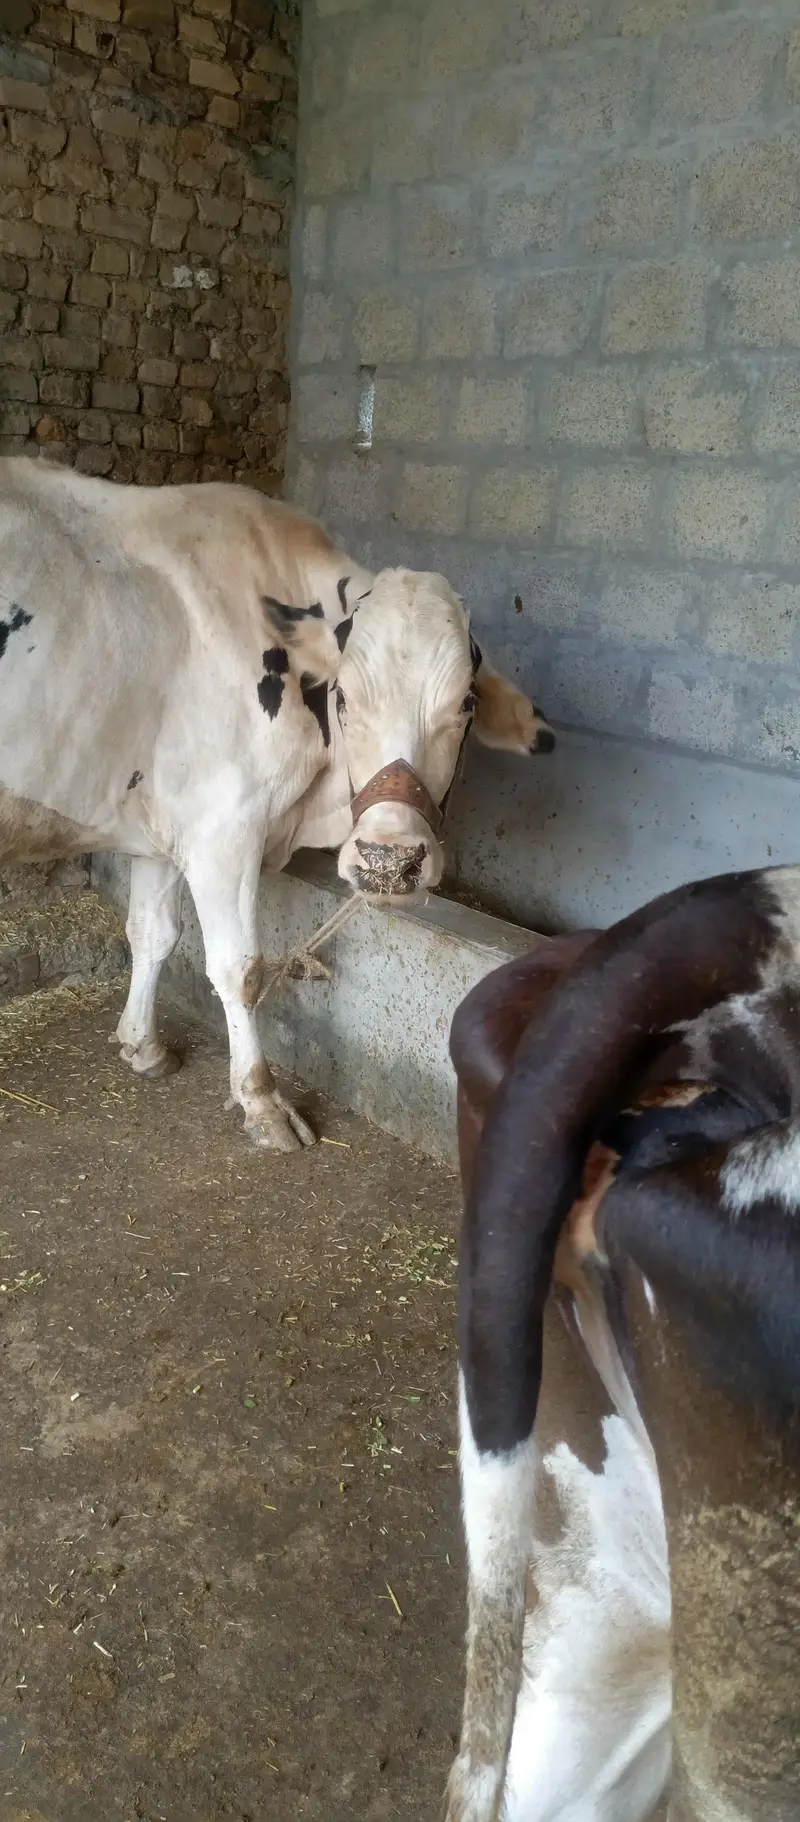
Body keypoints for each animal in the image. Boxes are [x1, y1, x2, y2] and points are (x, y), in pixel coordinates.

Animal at [0, 457, 554, 1153]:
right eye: (343, 695)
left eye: (467, 703)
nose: (388, 861)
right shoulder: (224, 829)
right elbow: (239, 968)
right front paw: (261, 1100)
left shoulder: (163, 824)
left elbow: (151, 933)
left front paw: (142, 1047)